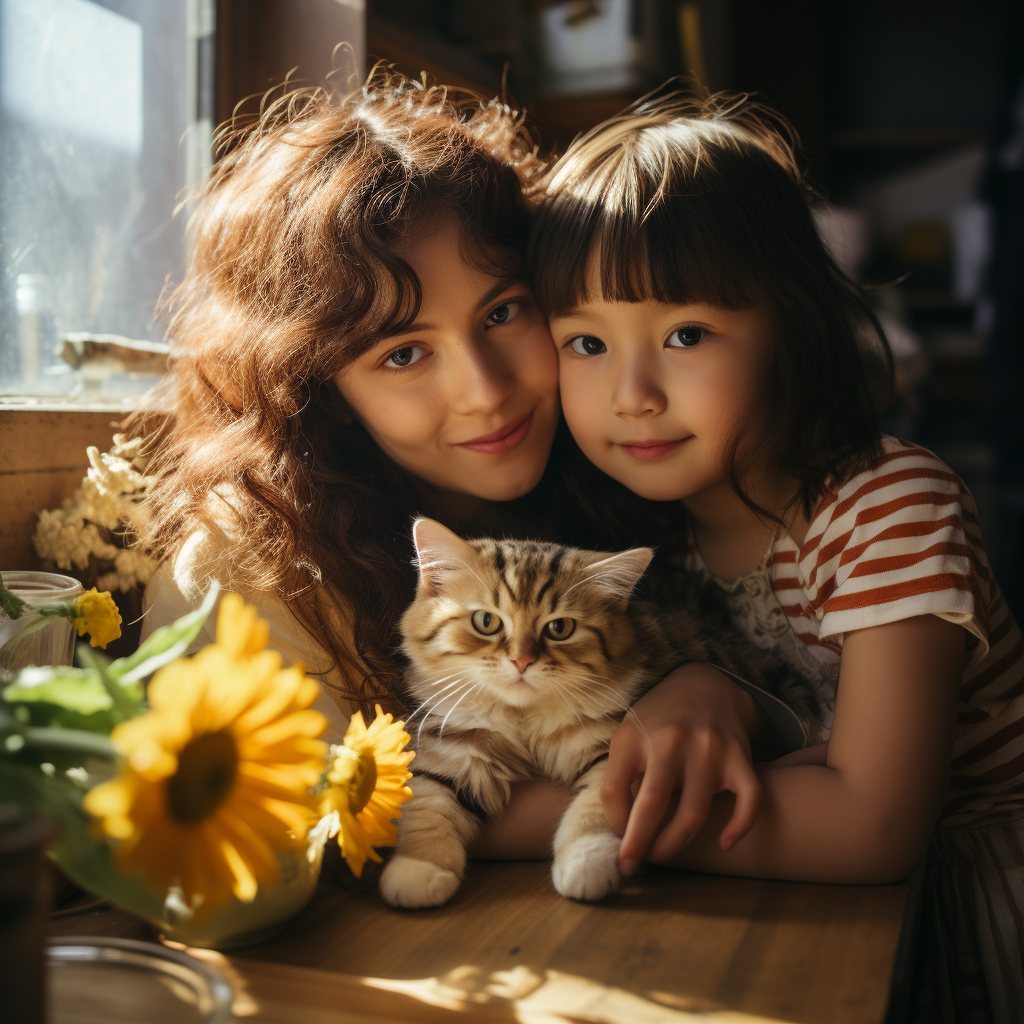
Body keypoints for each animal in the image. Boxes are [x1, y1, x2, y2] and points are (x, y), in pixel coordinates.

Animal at [380, 516, 819, 909]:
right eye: (486, 621)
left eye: (559, 629)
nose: (522, 661)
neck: (524, 721)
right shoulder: (454, 749)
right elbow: (428, 808)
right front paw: (418, 871)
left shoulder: (618, 751)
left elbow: (596, 808)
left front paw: (585, 864)